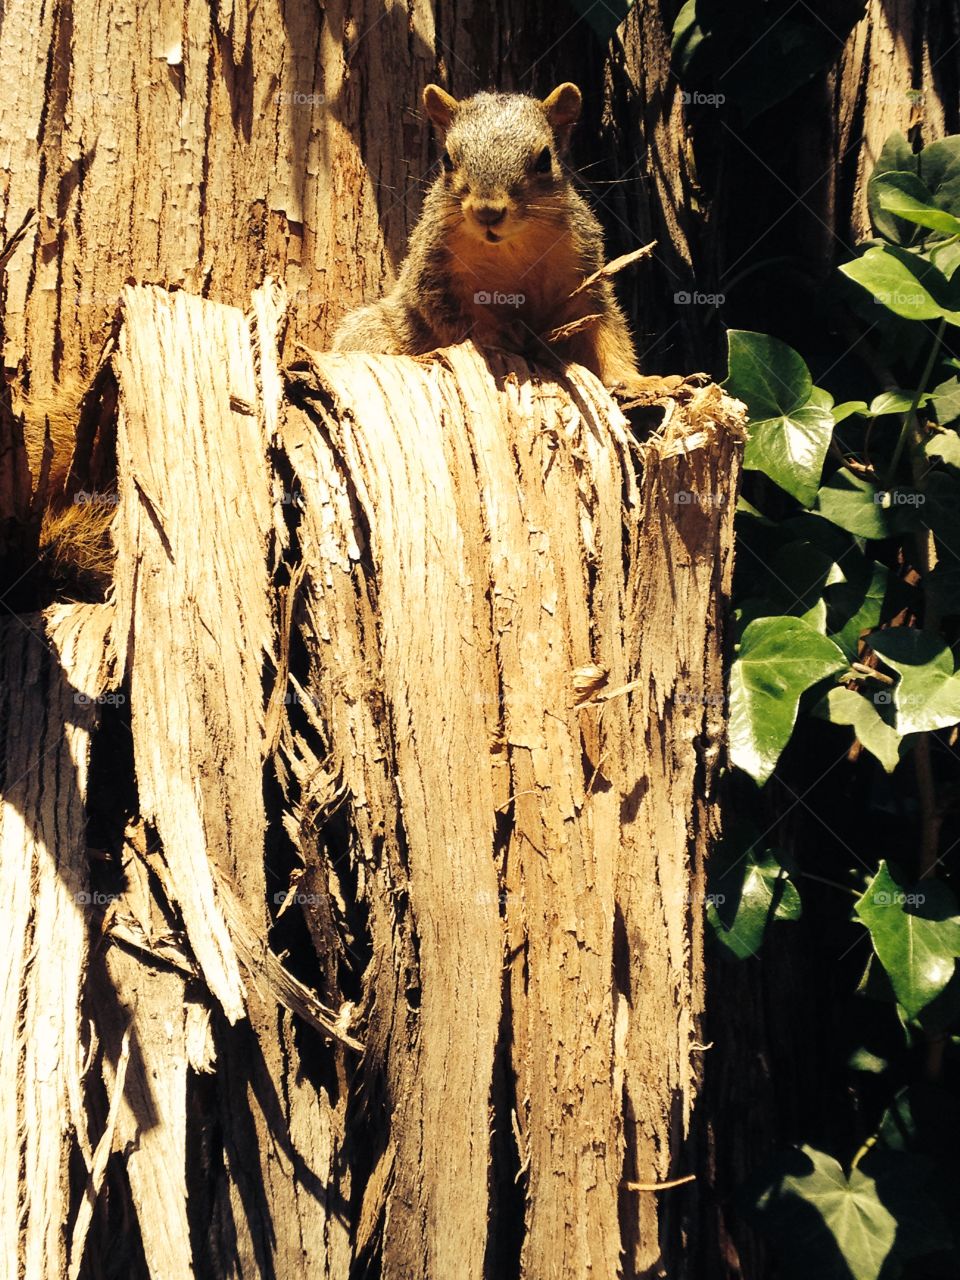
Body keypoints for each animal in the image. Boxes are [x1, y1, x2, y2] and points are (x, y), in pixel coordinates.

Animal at [333, 82, 650, 392]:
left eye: (545, 160)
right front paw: (499, 336)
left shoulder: (583, 272)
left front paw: (636, 380)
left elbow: (605, 330)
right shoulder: (435, 273)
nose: (487, 212)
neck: (511, 247)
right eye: (447, 159)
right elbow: (456, 319)